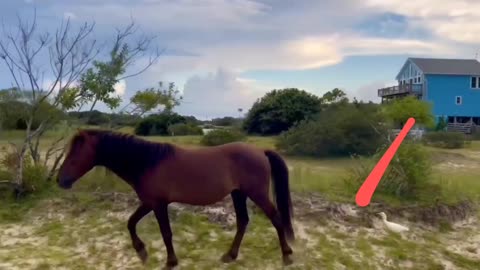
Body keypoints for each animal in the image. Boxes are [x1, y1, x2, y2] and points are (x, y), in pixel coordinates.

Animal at [56, 130, 296, 268]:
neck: (147, 162)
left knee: (276, 219)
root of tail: (261, 151)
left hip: (257, 193)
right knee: (243, 221)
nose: (61, 180)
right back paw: (230, 255)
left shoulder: (158, 204)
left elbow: (166, 233)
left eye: (75, 153)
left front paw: (170, 262)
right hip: (238, 194)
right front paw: (141, 252)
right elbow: (131, 222)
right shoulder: (149, 202)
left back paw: (286, 256)